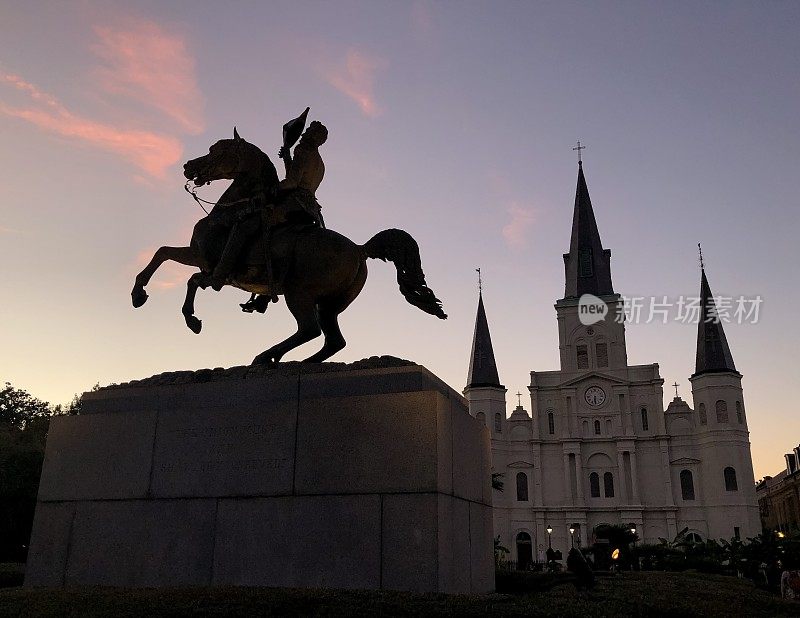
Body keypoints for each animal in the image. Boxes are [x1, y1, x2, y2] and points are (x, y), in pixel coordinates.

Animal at [130, 128, 444, 364]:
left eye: (217, 149)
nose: (188, 166)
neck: (229, 211)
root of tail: (359, 248)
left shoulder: (206, 261)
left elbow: (187, 275)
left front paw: (186, 316)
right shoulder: (199, 257)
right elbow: (164, 255)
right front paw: (143, 296)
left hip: (299, 293)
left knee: (309, 330)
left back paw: (267, 357)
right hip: (329, 304)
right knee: (333, 340)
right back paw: (301, 363)